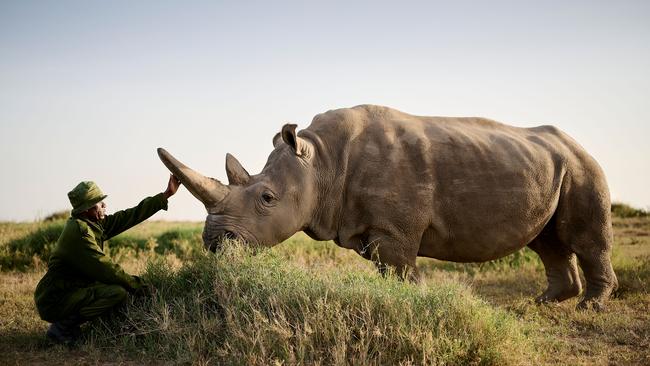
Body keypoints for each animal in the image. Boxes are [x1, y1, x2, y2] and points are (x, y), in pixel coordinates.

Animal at [159, 104, 616, 310]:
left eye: (267, 199)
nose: (215, 243)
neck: (320, 162)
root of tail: (575, 143)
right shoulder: (372, 228)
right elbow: (390, 272)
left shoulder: (395, 231)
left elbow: (401, 271)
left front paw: (418, 307)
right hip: (550, 166)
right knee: (546, 240)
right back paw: (541, 304)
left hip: (582, 165)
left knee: (583, 238)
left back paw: (588, 307)